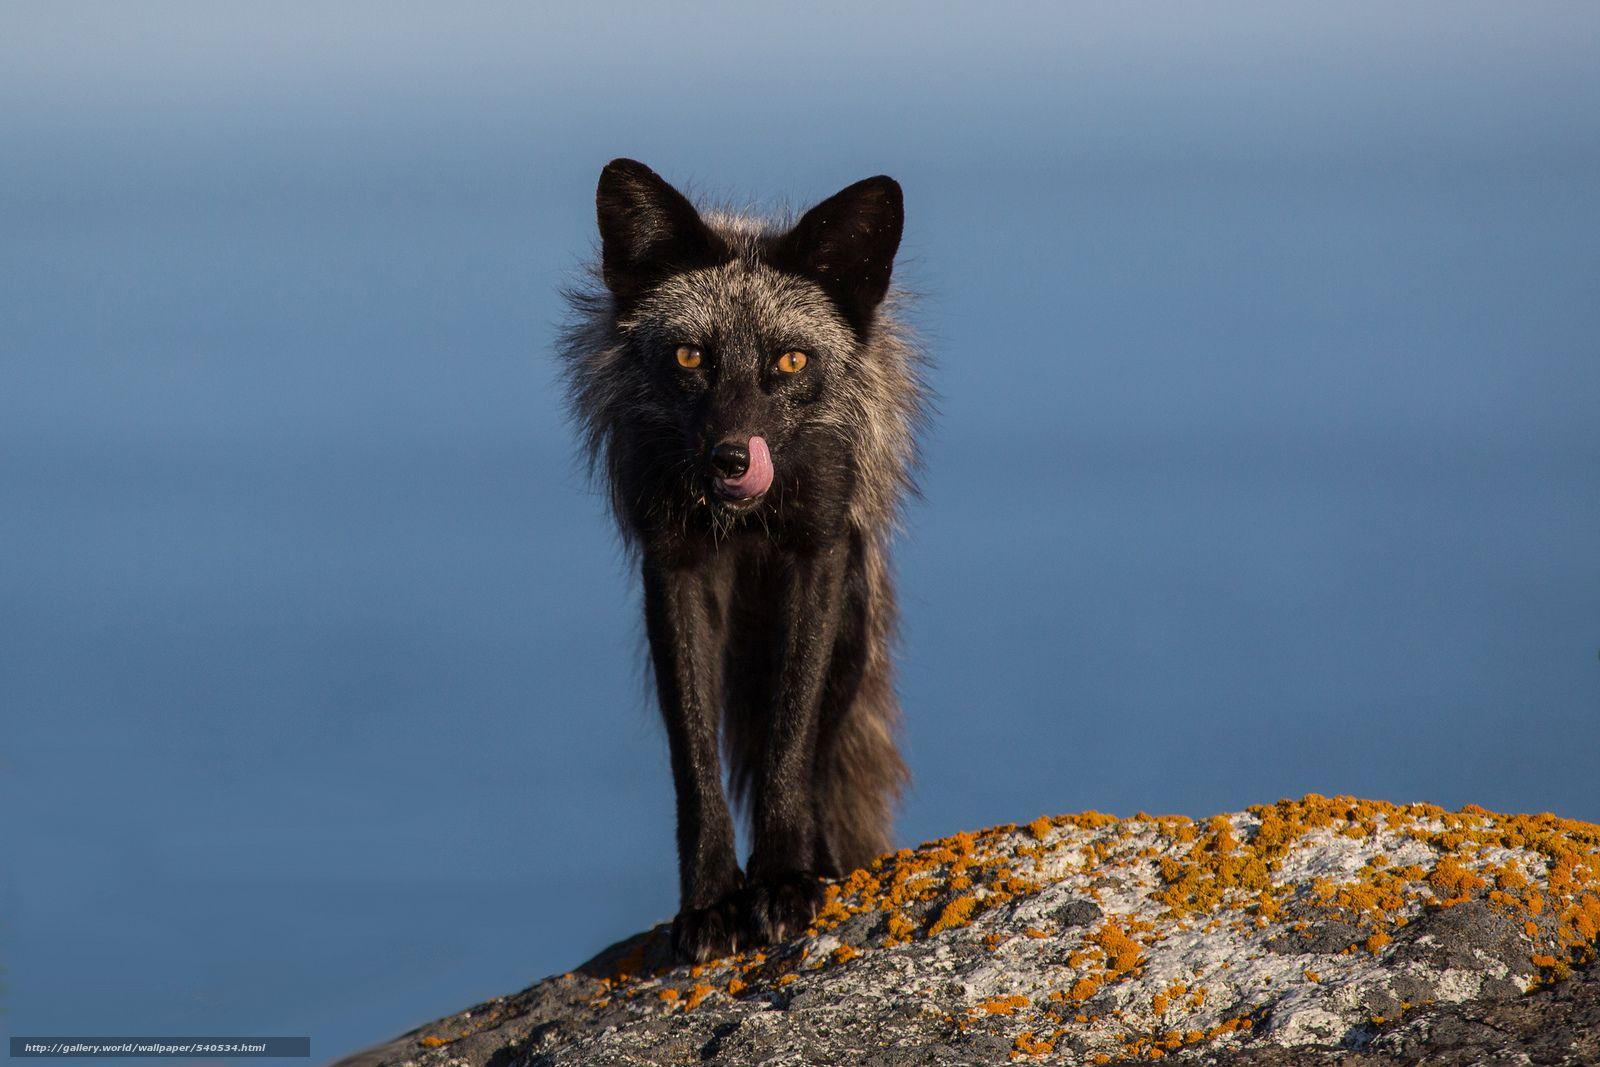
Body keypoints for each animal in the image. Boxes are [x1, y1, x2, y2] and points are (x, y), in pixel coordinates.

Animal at [558, 159, 928, 962]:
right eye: (689, 356)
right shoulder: (675, 569)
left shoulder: (815, 555)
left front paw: (785, 880)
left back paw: (821, 860)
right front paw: (709, 903)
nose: (731, 458)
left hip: (853, 626)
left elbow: (789, 740)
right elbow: (693, 763)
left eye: (789, 360)